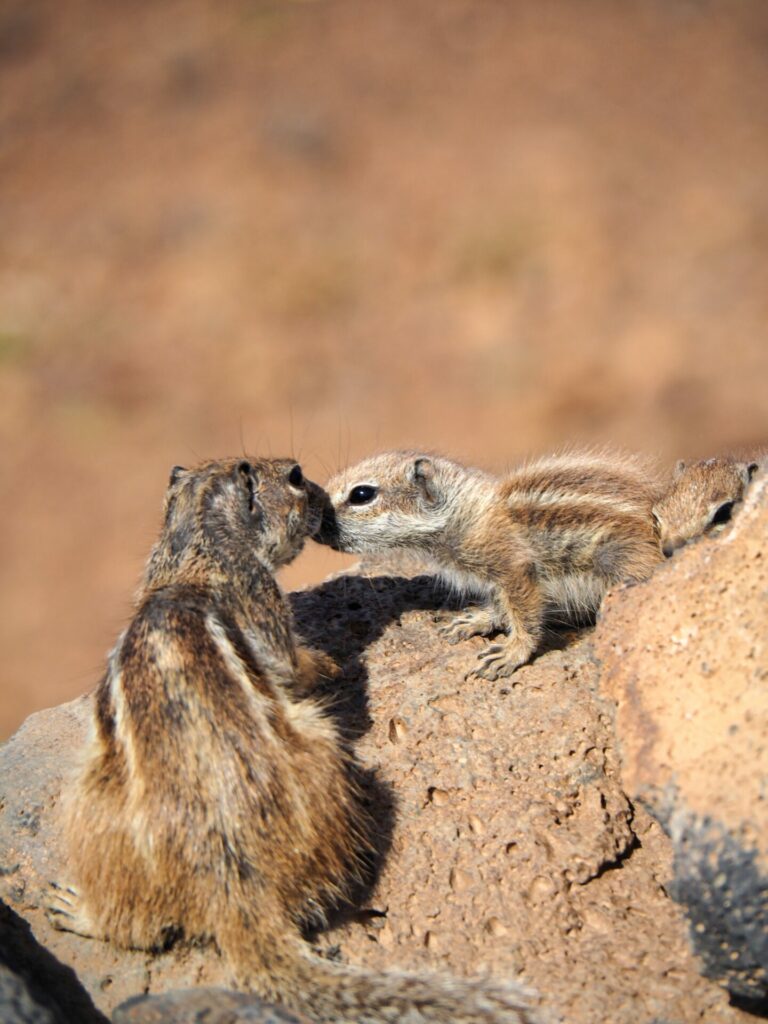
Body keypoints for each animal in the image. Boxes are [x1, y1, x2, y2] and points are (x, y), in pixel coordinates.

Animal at [46, 456, 540, 1024]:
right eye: (297, 477)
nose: (322, 495)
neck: (191, 551)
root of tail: (231, 888)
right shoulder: (259, 594)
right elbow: (287, 662)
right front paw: (327, 661)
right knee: (139, 930)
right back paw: (78, 911)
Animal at [315, 448, 663, 679]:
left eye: (362, 494)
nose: (316, 525)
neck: (467, 513)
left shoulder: (513, 567)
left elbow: (525, 613)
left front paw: (510, 653)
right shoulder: (495, 579)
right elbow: (499, 606)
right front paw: (474, 620)